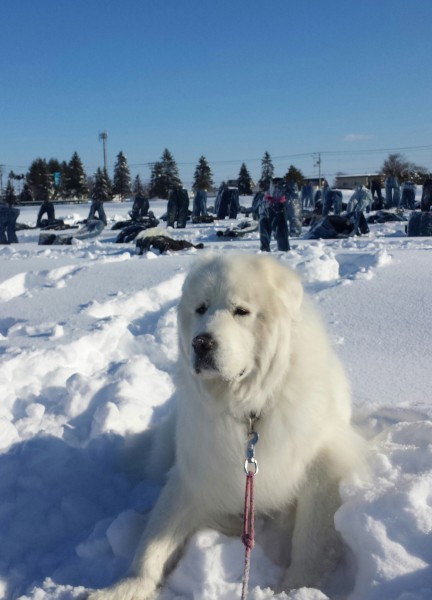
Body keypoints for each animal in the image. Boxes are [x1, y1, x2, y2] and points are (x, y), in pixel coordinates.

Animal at [90, 253, 364, 600]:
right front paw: (127, 586)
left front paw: (296, 587)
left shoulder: (323, 464)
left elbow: (310, 539)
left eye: (241, 311)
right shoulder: (195, 471)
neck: (250, 410)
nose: (201, 343)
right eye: (201, 308)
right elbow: (155, 538)